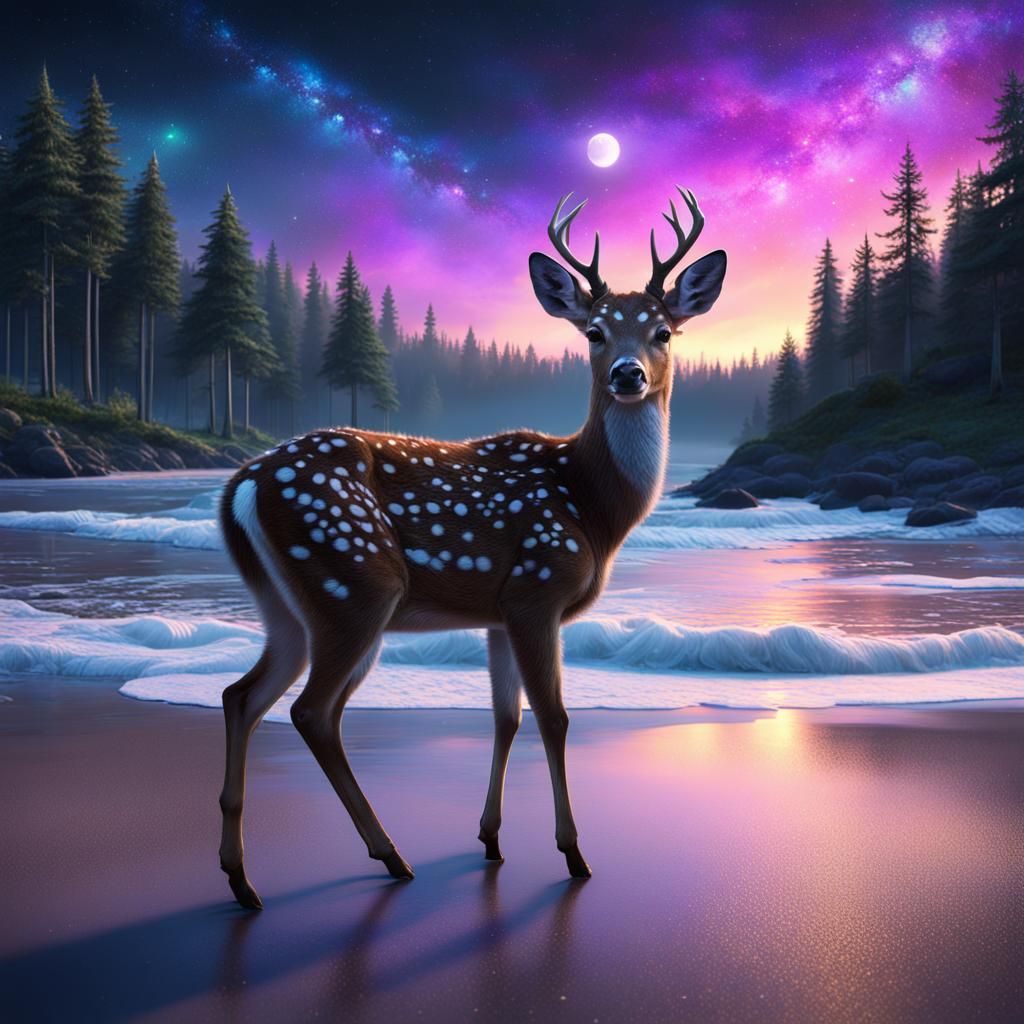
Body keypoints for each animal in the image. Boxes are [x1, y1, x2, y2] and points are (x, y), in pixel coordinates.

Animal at [217, 187, 727, 909]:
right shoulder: (538, 588)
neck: (592, 505)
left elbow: (504, 717)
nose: (628, 375)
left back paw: (243, 879)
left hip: (284, 605)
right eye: (594, 333)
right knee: (313, 711)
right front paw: (574, 854)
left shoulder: (497, 612)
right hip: (354, 584)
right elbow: (554, 717)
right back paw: (389, 855)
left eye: (663, 331)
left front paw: (489, 839)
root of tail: (239, 486)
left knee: (242, 695)